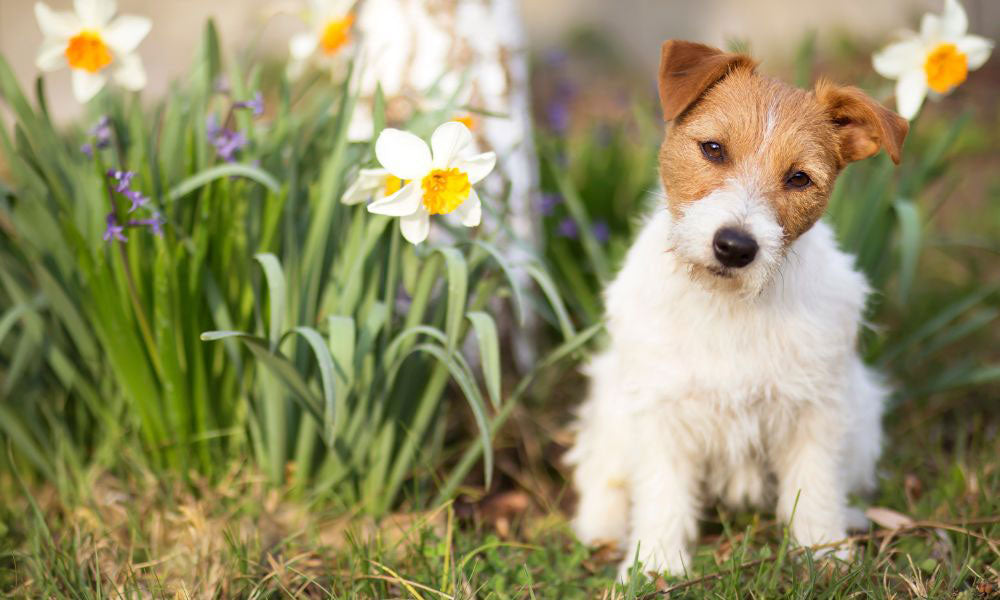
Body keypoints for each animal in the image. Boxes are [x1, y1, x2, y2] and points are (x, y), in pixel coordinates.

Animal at [568, 38, 912, 576]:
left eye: (799, 178)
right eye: (713, 149)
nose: (734, 246)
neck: (727, 304)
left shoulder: (817, 409)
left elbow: (815, 484)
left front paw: (825, 552)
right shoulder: (661, 410)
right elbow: (662, 493)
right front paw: (655, 566)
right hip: (610, 401)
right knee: (602, 469)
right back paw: (600, 526)